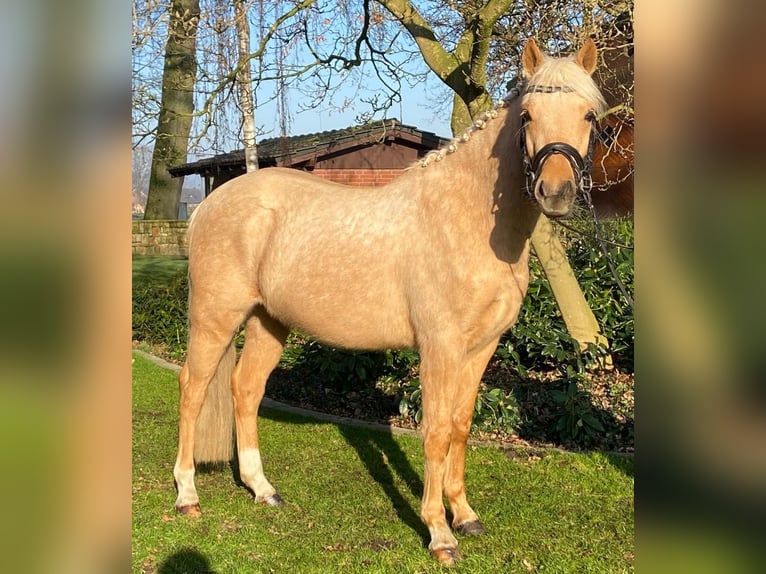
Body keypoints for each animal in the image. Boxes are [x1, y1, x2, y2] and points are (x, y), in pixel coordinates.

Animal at [174, 39, 608, 568]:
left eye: (589, 114)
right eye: (526, 116)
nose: (556, 192)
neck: (464, 221)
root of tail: (207, 206)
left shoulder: (481, 348)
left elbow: (461, 426)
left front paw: (465, 515)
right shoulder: (440, 348)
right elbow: (436, 432)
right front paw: (440, 533)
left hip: (268, 322)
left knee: (246, 389)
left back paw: (262, 489)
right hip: (215, 318)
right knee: (193, 389)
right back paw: (187, 496)